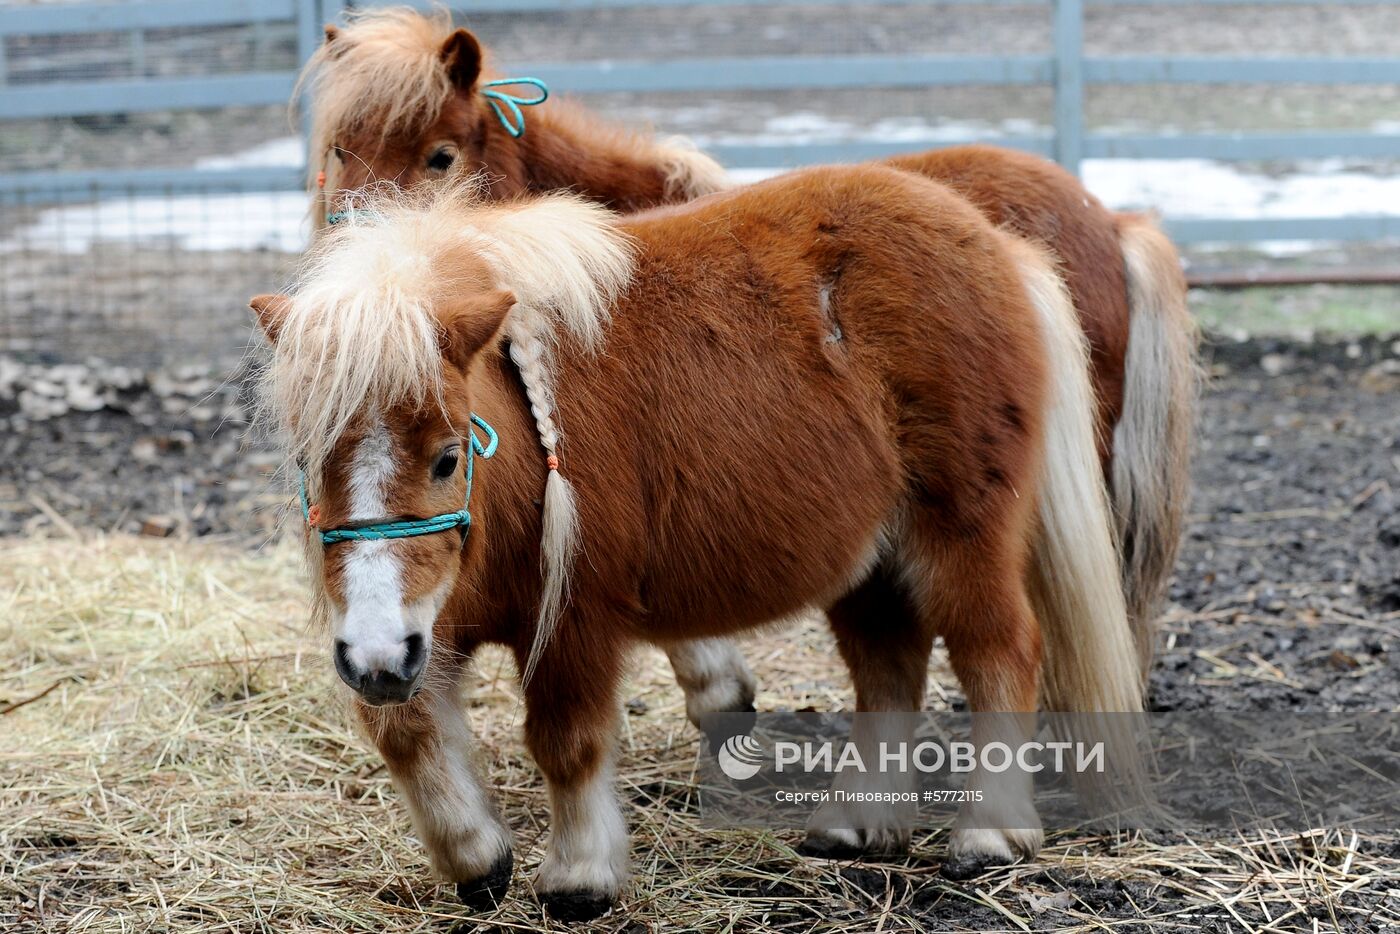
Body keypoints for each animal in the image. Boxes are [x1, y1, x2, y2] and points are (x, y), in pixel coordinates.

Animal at [254, 165, 1148, 918]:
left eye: (447, 458)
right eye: (308, 461)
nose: (374, 659)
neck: (526, 426)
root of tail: (999, 245)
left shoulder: (574, 621)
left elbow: (567, 742)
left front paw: (580, 877)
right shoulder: (419, 625)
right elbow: (406, 734)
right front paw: (477, 859)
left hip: (961, 537)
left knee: (999, 651)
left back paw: (990, 834)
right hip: (872, 561)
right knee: (888, 668)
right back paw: (859, 823)